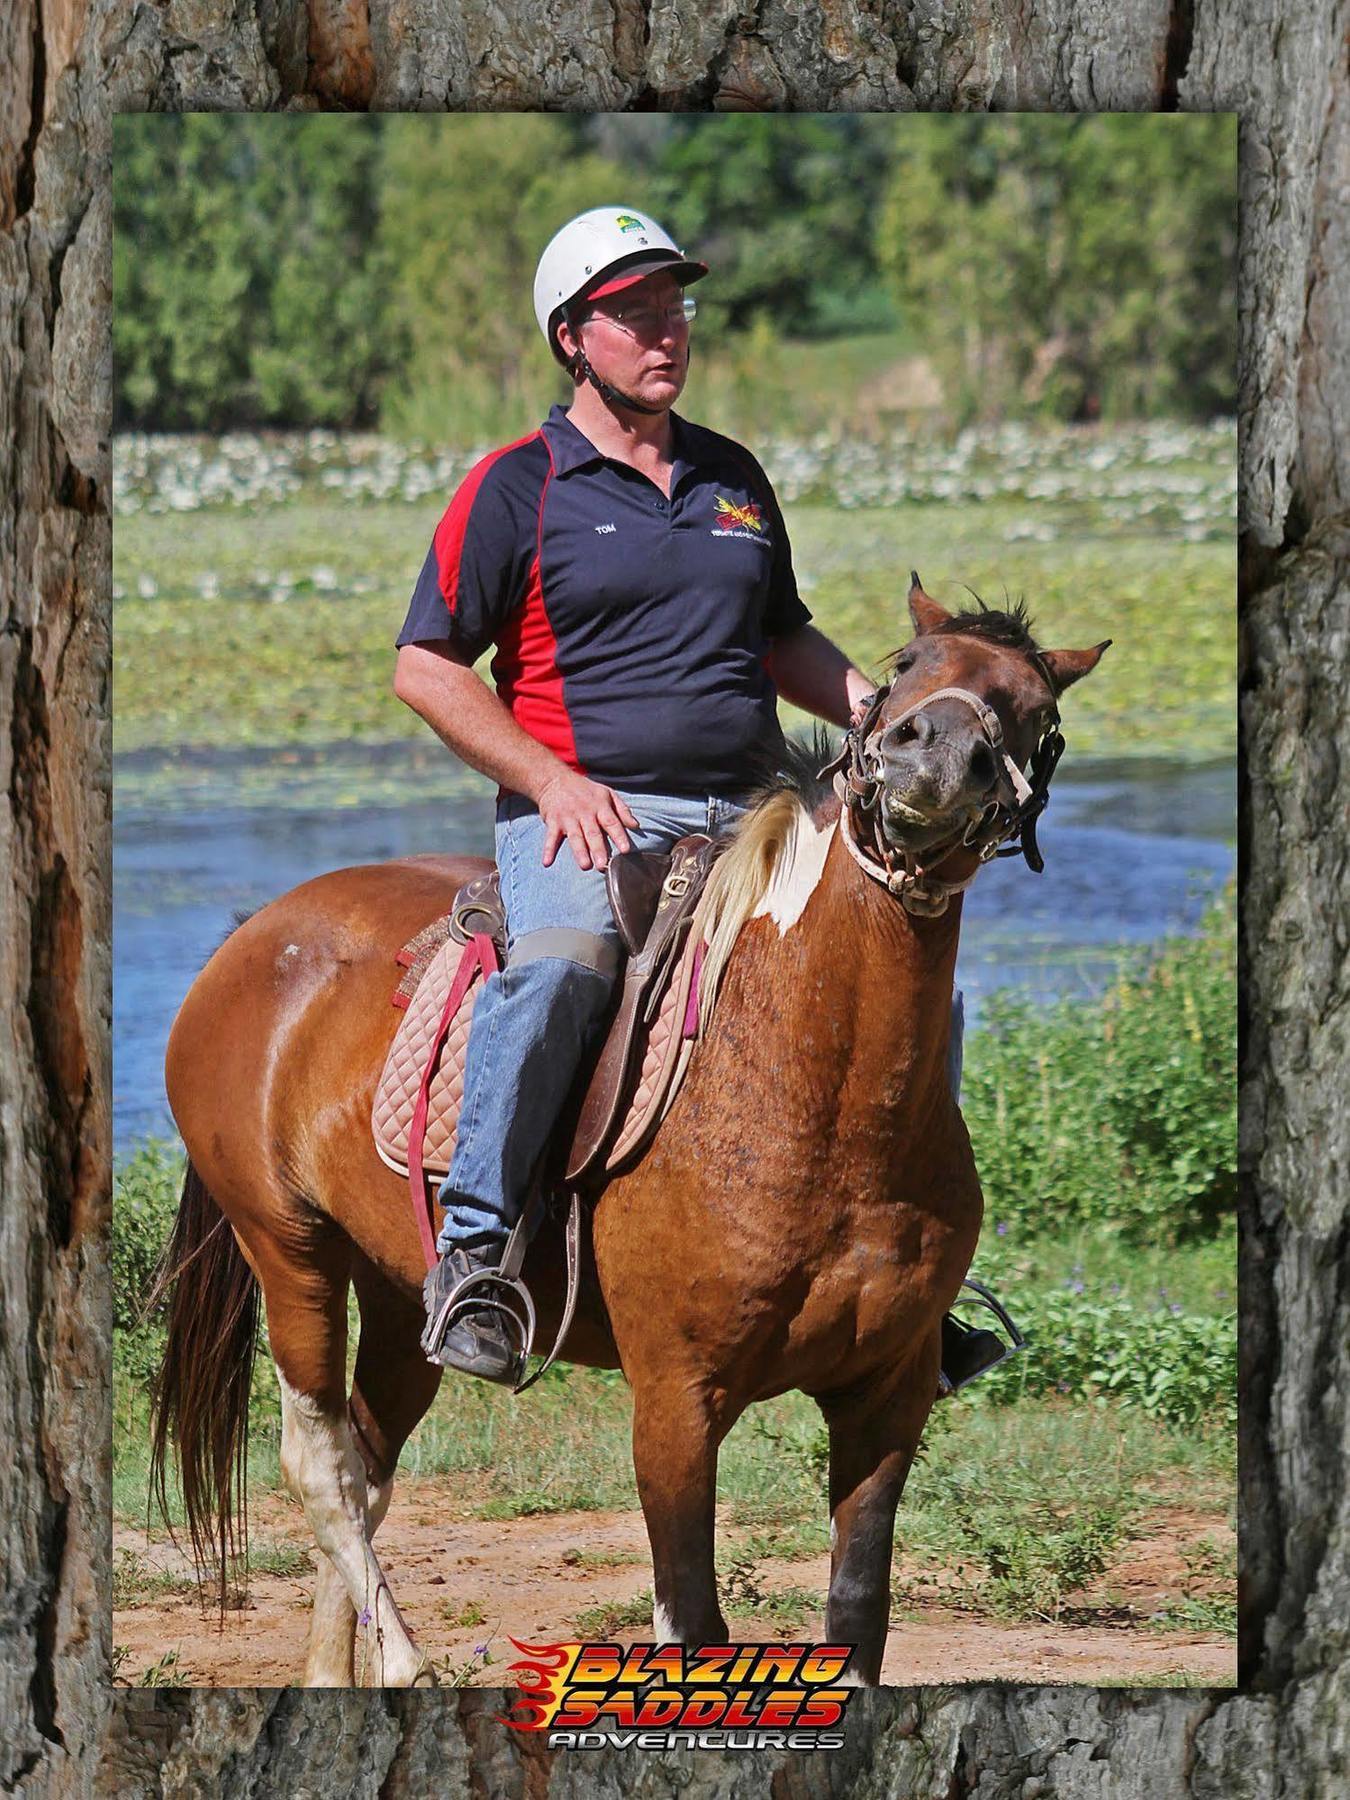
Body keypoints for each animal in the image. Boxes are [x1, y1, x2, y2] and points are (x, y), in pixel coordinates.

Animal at [147, 579, 1108, 1684]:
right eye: (905, 666)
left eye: (1035, 709)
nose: (932, 756)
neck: (822, 1095)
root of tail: (257, 934)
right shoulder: (676, 1402)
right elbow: (692, 1623)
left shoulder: (888, 1396)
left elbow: (856, 1618)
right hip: (289, 1250)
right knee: (325, 1470)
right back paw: (404, 1664)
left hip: (398, 1293)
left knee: (368, 1462)